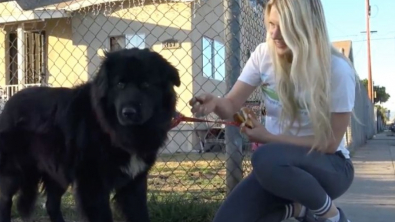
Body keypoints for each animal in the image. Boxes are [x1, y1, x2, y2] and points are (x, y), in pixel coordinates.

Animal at [0, 47, 181, 222]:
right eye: (120, 84)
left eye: (146, 85)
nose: (128, 113)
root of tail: (9, 102)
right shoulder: (92, 184)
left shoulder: (134, 182)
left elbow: (139, 214)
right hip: (15, 171)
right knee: (5, 199)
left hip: (57, 172)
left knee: (51, 204)